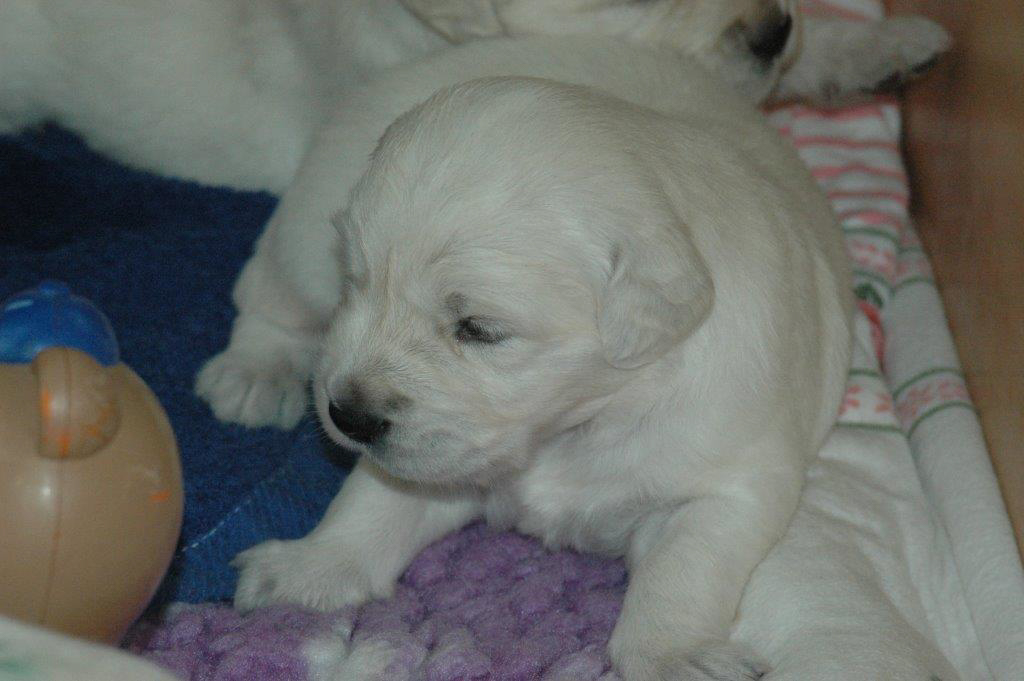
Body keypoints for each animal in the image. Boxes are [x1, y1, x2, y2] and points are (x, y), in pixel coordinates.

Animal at [218, 37, 855, 679]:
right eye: (355, 282)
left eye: (479, 329)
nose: (347, 416)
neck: (583, 419)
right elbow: (373, 499)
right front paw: (309, 568)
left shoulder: (729, 482)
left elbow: (682, 570)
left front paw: (675, 656)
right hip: (305, 233)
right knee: (268, 294)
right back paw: (253, 376)